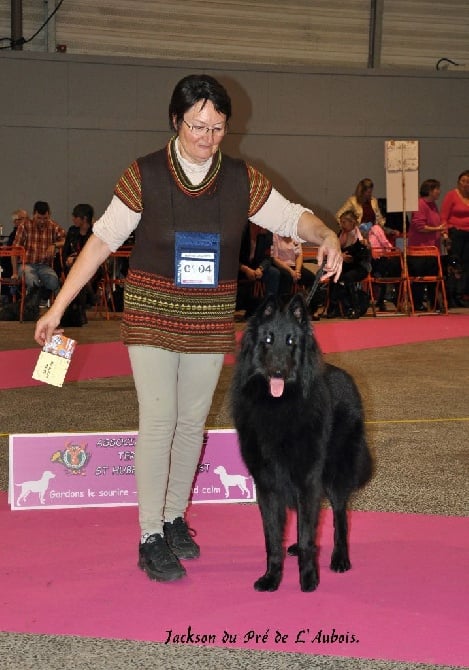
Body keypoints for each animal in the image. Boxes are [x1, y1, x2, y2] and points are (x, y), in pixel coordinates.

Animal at [229, 296, 370, 592]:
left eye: (291, 341)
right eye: (268, 339)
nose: (278, 371)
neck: (279, 406)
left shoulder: (307, 480)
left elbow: (308, 533)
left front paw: (308, 578)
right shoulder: (268, 485)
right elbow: (273, 539)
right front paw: (272, 577)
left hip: (335, 474)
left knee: (340, 517)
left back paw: (340, 558)